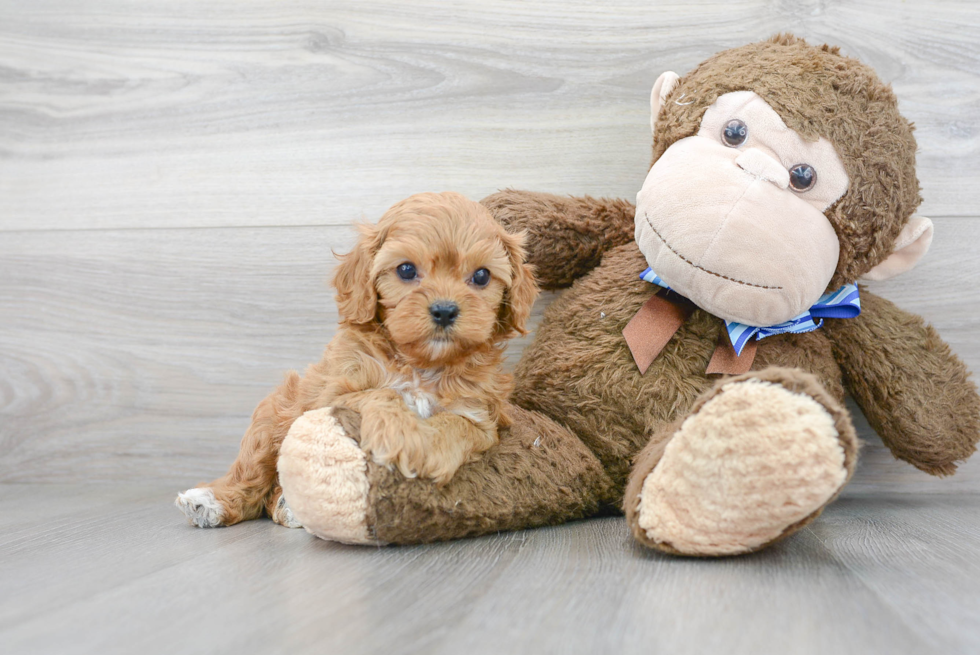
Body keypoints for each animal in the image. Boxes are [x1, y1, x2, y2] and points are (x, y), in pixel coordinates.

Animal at [180, 193, 540, 528]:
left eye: (481, 276)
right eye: (406, 269)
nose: (444, 310)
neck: (420, 365)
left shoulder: (482, 418)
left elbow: (458, 425)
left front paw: (428, 450)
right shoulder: (331, 394)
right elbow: (381, 393)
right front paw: (401, 435)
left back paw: (288, 506)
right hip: (274, 416)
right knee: (251, 475)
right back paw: (210, 501)